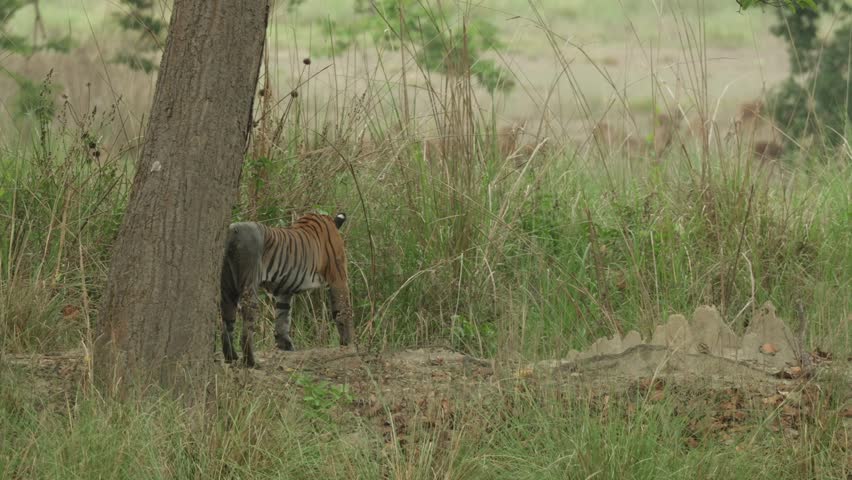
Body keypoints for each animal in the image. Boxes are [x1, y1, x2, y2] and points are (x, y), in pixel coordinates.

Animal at [220, 212, 353, 367]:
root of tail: (234, 229)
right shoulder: (339, 278)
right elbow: (343, 310)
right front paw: (348, 344)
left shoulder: (284, 289)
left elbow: (283, 318)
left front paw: (285, 347)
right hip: (249, 282)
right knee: (247, 323)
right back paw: (251, 361)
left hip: (227, 286)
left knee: (227, 322)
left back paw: (231, 358)